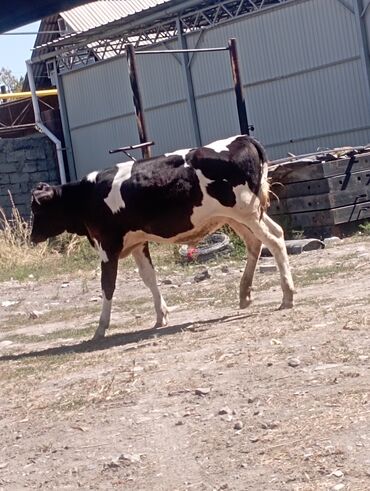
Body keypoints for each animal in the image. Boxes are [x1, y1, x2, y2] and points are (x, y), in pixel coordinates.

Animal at [31, 136, 294, 340]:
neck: (87, 195)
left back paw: (287, 295)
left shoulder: (108, 245)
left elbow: (107, 285)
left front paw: (100, 328)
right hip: (238, 216)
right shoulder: (137, 242)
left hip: (246, 212)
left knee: (274, 240)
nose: (32, 237)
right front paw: (161, 316)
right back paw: (245, 294)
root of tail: (242, 139)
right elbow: (149, 277)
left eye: (36, 210)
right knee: (261, 240)